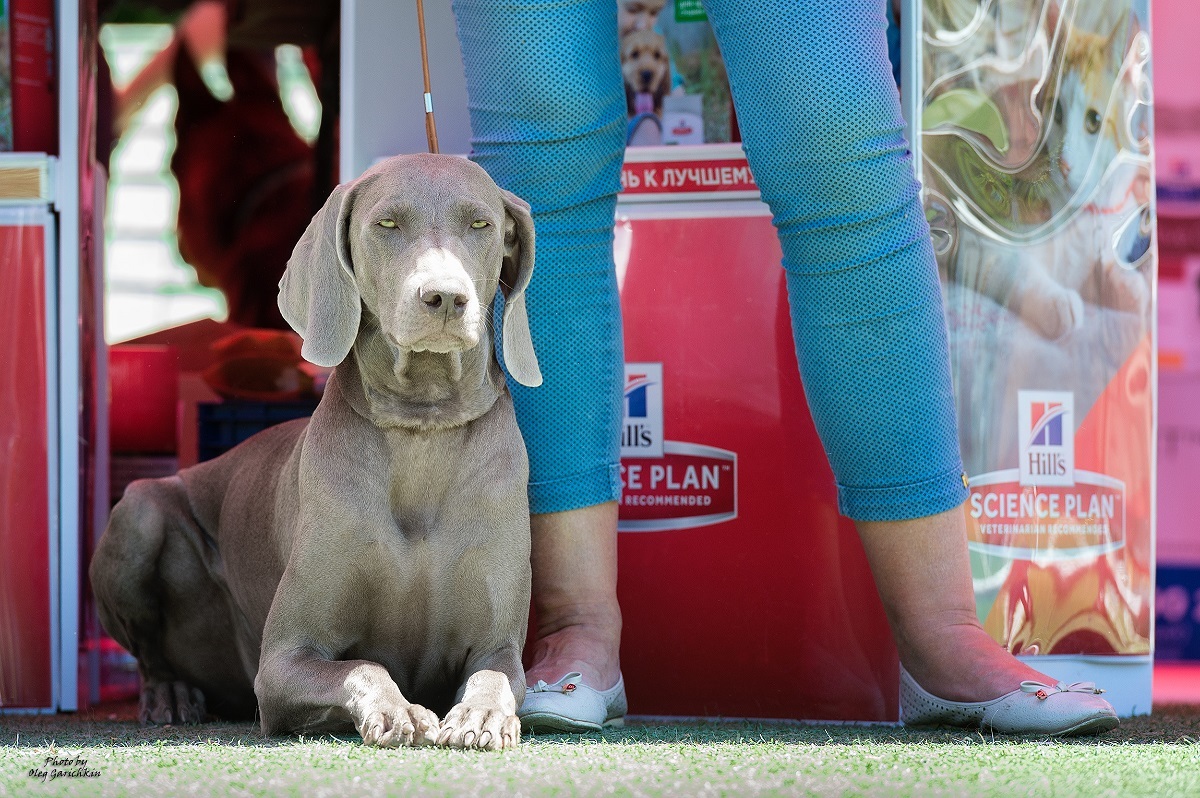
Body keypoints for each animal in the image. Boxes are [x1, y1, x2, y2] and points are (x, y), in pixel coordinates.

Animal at [91, 153, 542, 748]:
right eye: (387, 224)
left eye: (480, 224)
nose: (445, 297)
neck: (422, 420)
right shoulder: (284, 661)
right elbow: (362, 666)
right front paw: (398, 710)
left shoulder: (500, 643)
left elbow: (495, 675)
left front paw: (483, 715)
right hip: (139, 510)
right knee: (150, 653)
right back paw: (170, 693)